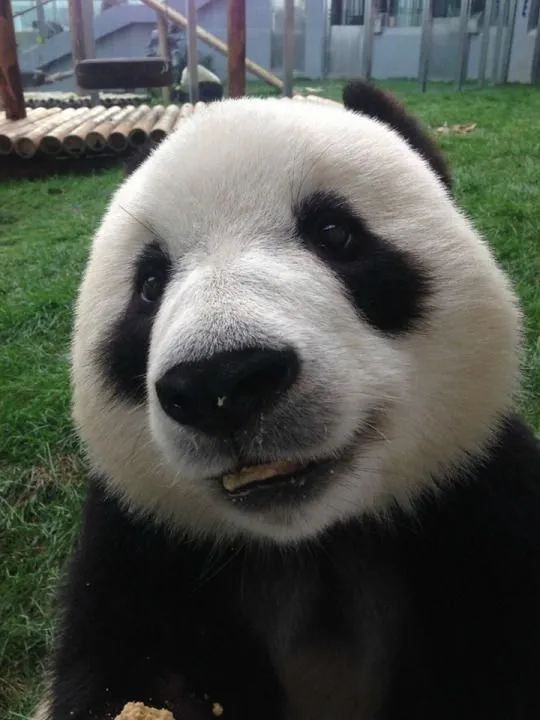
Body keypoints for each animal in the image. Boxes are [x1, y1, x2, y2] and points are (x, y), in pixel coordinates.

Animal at [41, 81, 540, 720]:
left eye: (334, 234)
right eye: (149, 285)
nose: (221, 383)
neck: (312, 543)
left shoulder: (483, 508)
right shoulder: (140, 549)